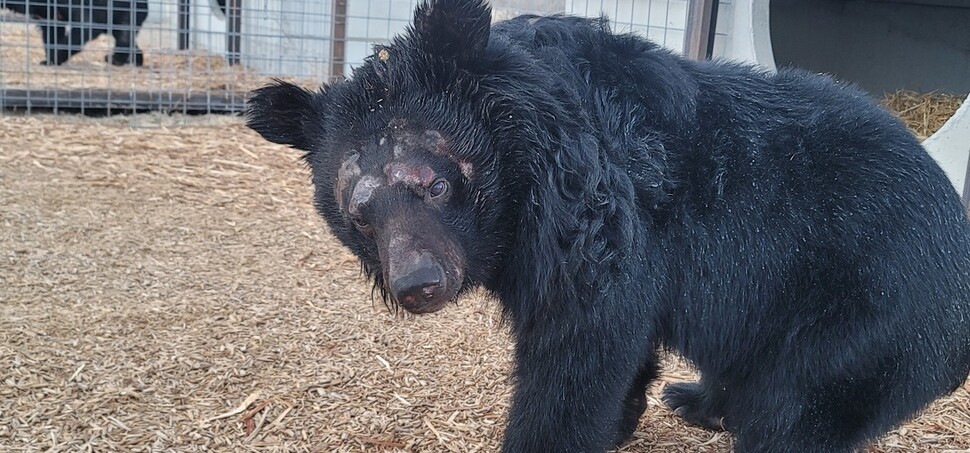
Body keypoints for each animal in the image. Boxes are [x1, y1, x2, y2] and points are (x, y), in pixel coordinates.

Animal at [0, 0, 148, 66]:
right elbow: (52, 30)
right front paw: (51, 59)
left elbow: (86, 26)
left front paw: (54, 58)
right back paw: (136, 60)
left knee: (124, 35)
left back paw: (116, 59)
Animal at [242, 0, 968, 448]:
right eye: (359, 215)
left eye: (436, 182)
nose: (419, 283)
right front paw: (622, 422)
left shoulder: (590, 214)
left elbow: (583, 346)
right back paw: (695, 399)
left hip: (865, 322)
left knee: (794, 413)